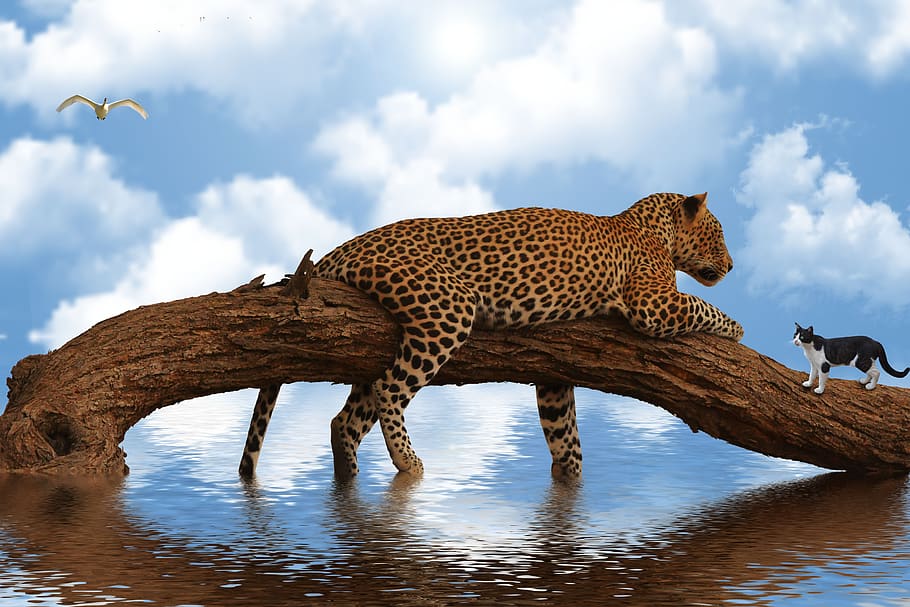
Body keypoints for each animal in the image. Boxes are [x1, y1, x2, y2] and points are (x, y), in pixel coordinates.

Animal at [238, 192, 744, 481]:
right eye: (719, 232)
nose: (733, 264)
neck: (653, 227)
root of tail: (341, 248)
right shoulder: (654, 303)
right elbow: (704, 306)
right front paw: (738, 330)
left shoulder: (556, 375)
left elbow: (565, 435)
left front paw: (569, 480)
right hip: (448, 307)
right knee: (388, 390)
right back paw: (408, 463)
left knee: (347, 417)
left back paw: (348, 474)